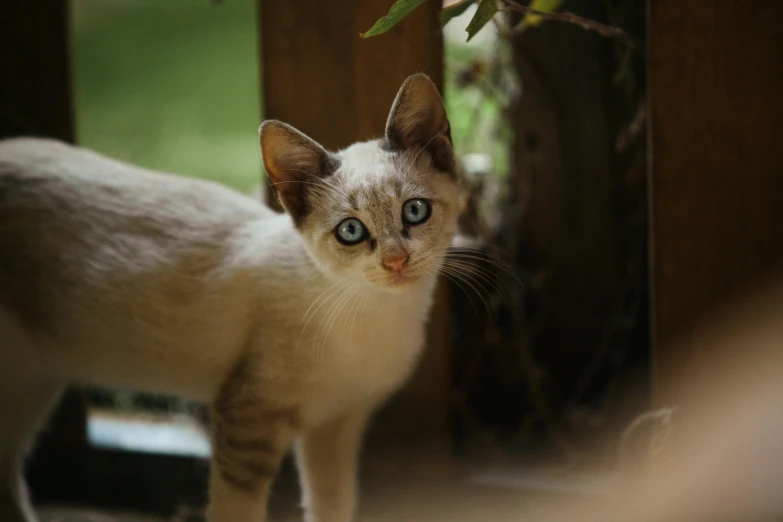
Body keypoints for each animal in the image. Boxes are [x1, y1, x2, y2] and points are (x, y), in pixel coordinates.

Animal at [0, 72, 460, 520]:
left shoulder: (335, 424)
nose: (396, 261)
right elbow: (235, 511)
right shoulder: (247, 420)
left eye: (415, 211)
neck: (375, 319)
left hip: (34, 385)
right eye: (351, 231)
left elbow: (332, 505)